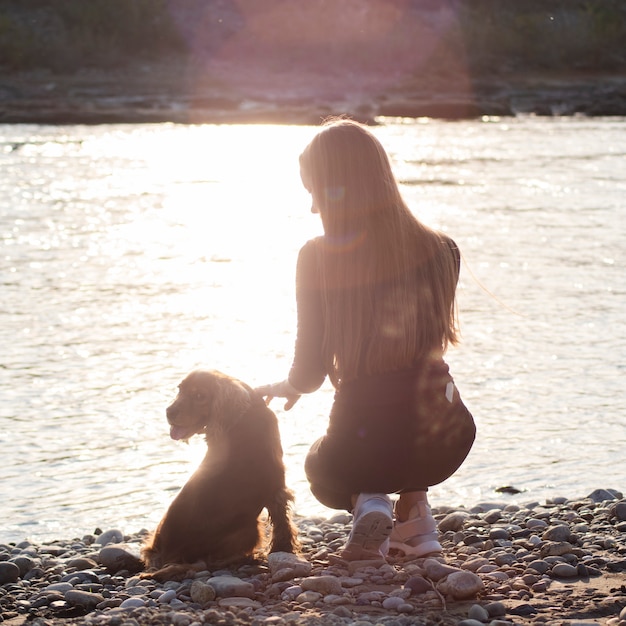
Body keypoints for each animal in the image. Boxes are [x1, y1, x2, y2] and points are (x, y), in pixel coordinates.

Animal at [141, 368, 298, 576]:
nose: (169, 412)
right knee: (215, 561)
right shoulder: (276, 488)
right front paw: (284, 550)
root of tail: (165, 553)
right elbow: (283, 525)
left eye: (199, 396)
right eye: (180, 389)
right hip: (250, 529)